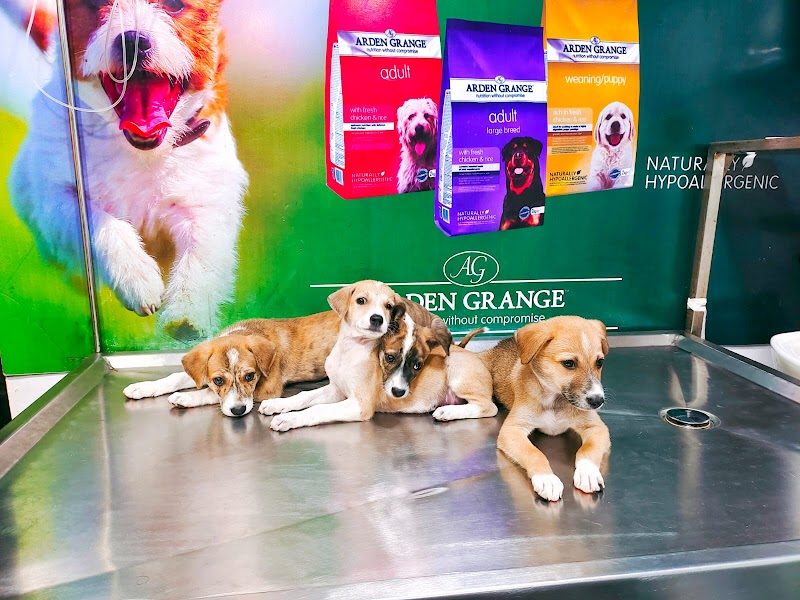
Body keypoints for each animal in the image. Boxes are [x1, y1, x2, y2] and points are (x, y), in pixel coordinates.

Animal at [8, 0, 248, 341]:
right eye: (95, 5)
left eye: (175, 5)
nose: (133, 41)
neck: (140, 152)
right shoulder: (55, 197)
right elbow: (101, 224)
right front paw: (135, 275)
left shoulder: (205, 198)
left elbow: (202, 248)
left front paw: (187, 312)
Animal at [123, 311, 340, 417]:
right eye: (218, 380)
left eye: (250, 376)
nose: (238, 411)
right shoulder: (202, 372)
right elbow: (177, 377)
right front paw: (143, 387)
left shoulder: (268, 390)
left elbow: (210, 394)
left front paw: (186, 398)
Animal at [258, 280, 399, 430]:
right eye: (361, 300)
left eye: (389, 306)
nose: (377, 319)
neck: (349, 350)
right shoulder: (337, 389)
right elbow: (304, 395)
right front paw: (276, 403)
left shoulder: (361, 405)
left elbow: (319, 408)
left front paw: (288, 418)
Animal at [478, 316, 610, 502]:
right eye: (568, 363)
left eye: (600, 362)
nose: (597, 401)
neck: (555, 400)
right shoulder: (512, 430)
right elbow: (534, 452)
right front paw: (547, 479)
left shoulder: (597, 427)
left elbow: (588, 449)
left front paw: (588, 473)